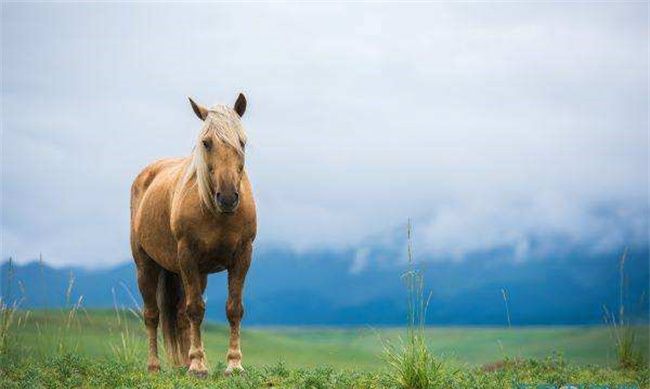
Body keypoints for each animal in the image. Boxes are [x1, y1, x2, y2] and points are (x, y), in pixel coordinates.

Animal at [130, 91, 256, 376]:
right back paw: (155, 366)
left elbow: (234, 309)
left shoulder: (243, 256)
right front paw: (198, 366)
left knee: (178, 315)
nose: (228, 197)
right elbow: (196, 309)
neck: (216, 213)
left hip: (194, 273)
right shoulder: (187, 256)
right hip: (147, 265)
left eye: (242, 142)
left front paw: (234, 365)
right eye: (206, 143)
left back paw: (184, 363)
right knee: (152, 315)